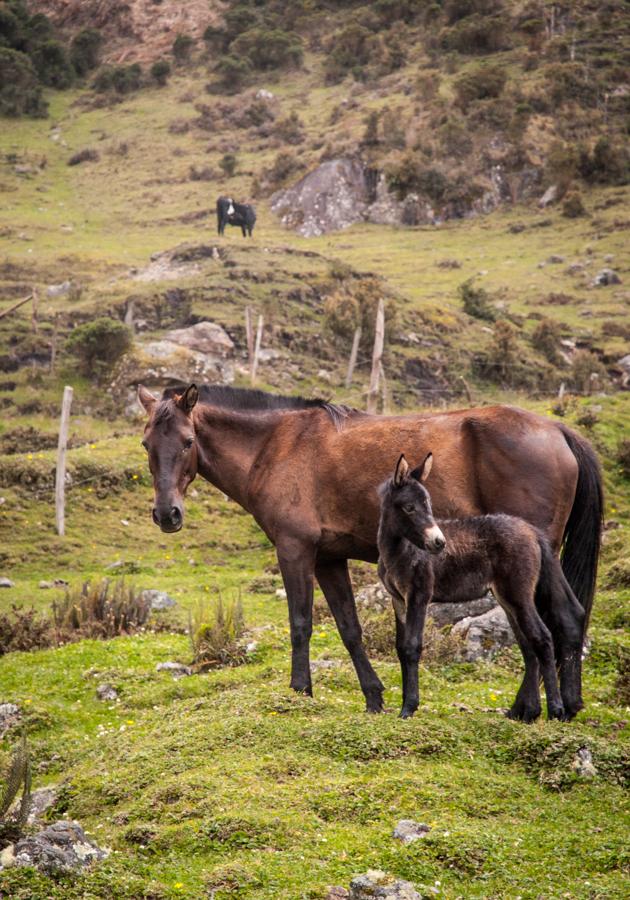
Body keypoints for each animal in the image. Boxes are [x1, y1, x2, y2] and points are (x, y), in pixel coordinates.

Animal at [378, 454, 584, 720]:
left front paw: (409, 708)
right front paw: (406, 704)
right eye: (409, 507)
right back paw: (529, 712)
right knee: (528, 646)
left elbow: (412, 647)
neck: (398, 552)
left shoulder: (419, 596)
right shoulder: (399, 601)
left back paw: (556, 710)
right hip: (506, 598)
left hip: (519, 595)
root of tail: (532, 532)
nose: (439, 543)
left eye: (429, 505)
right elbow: (400, 649)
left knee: (543, 638)